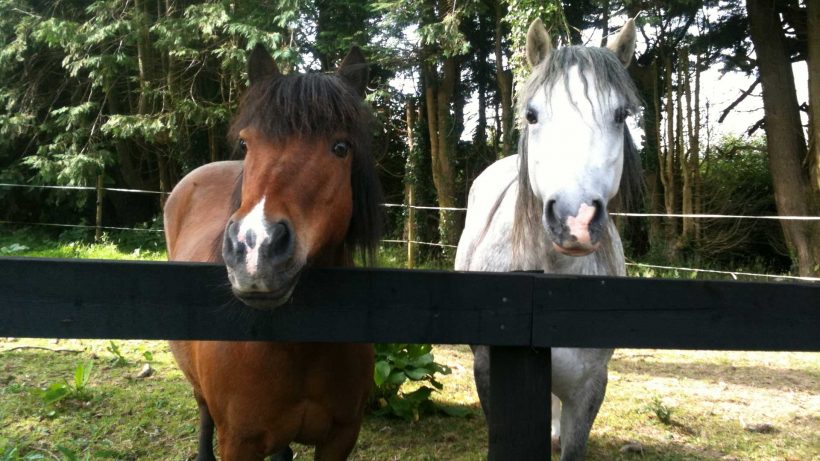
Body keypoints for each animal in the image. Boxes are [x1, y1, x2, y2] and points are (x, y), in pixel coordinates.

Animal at [163, 45, 383, 461]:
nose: (255, 247)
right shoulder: (239, 442)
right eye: (247, 144)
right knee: (202, 409)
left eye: (340, 147)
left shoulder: (342, 435)